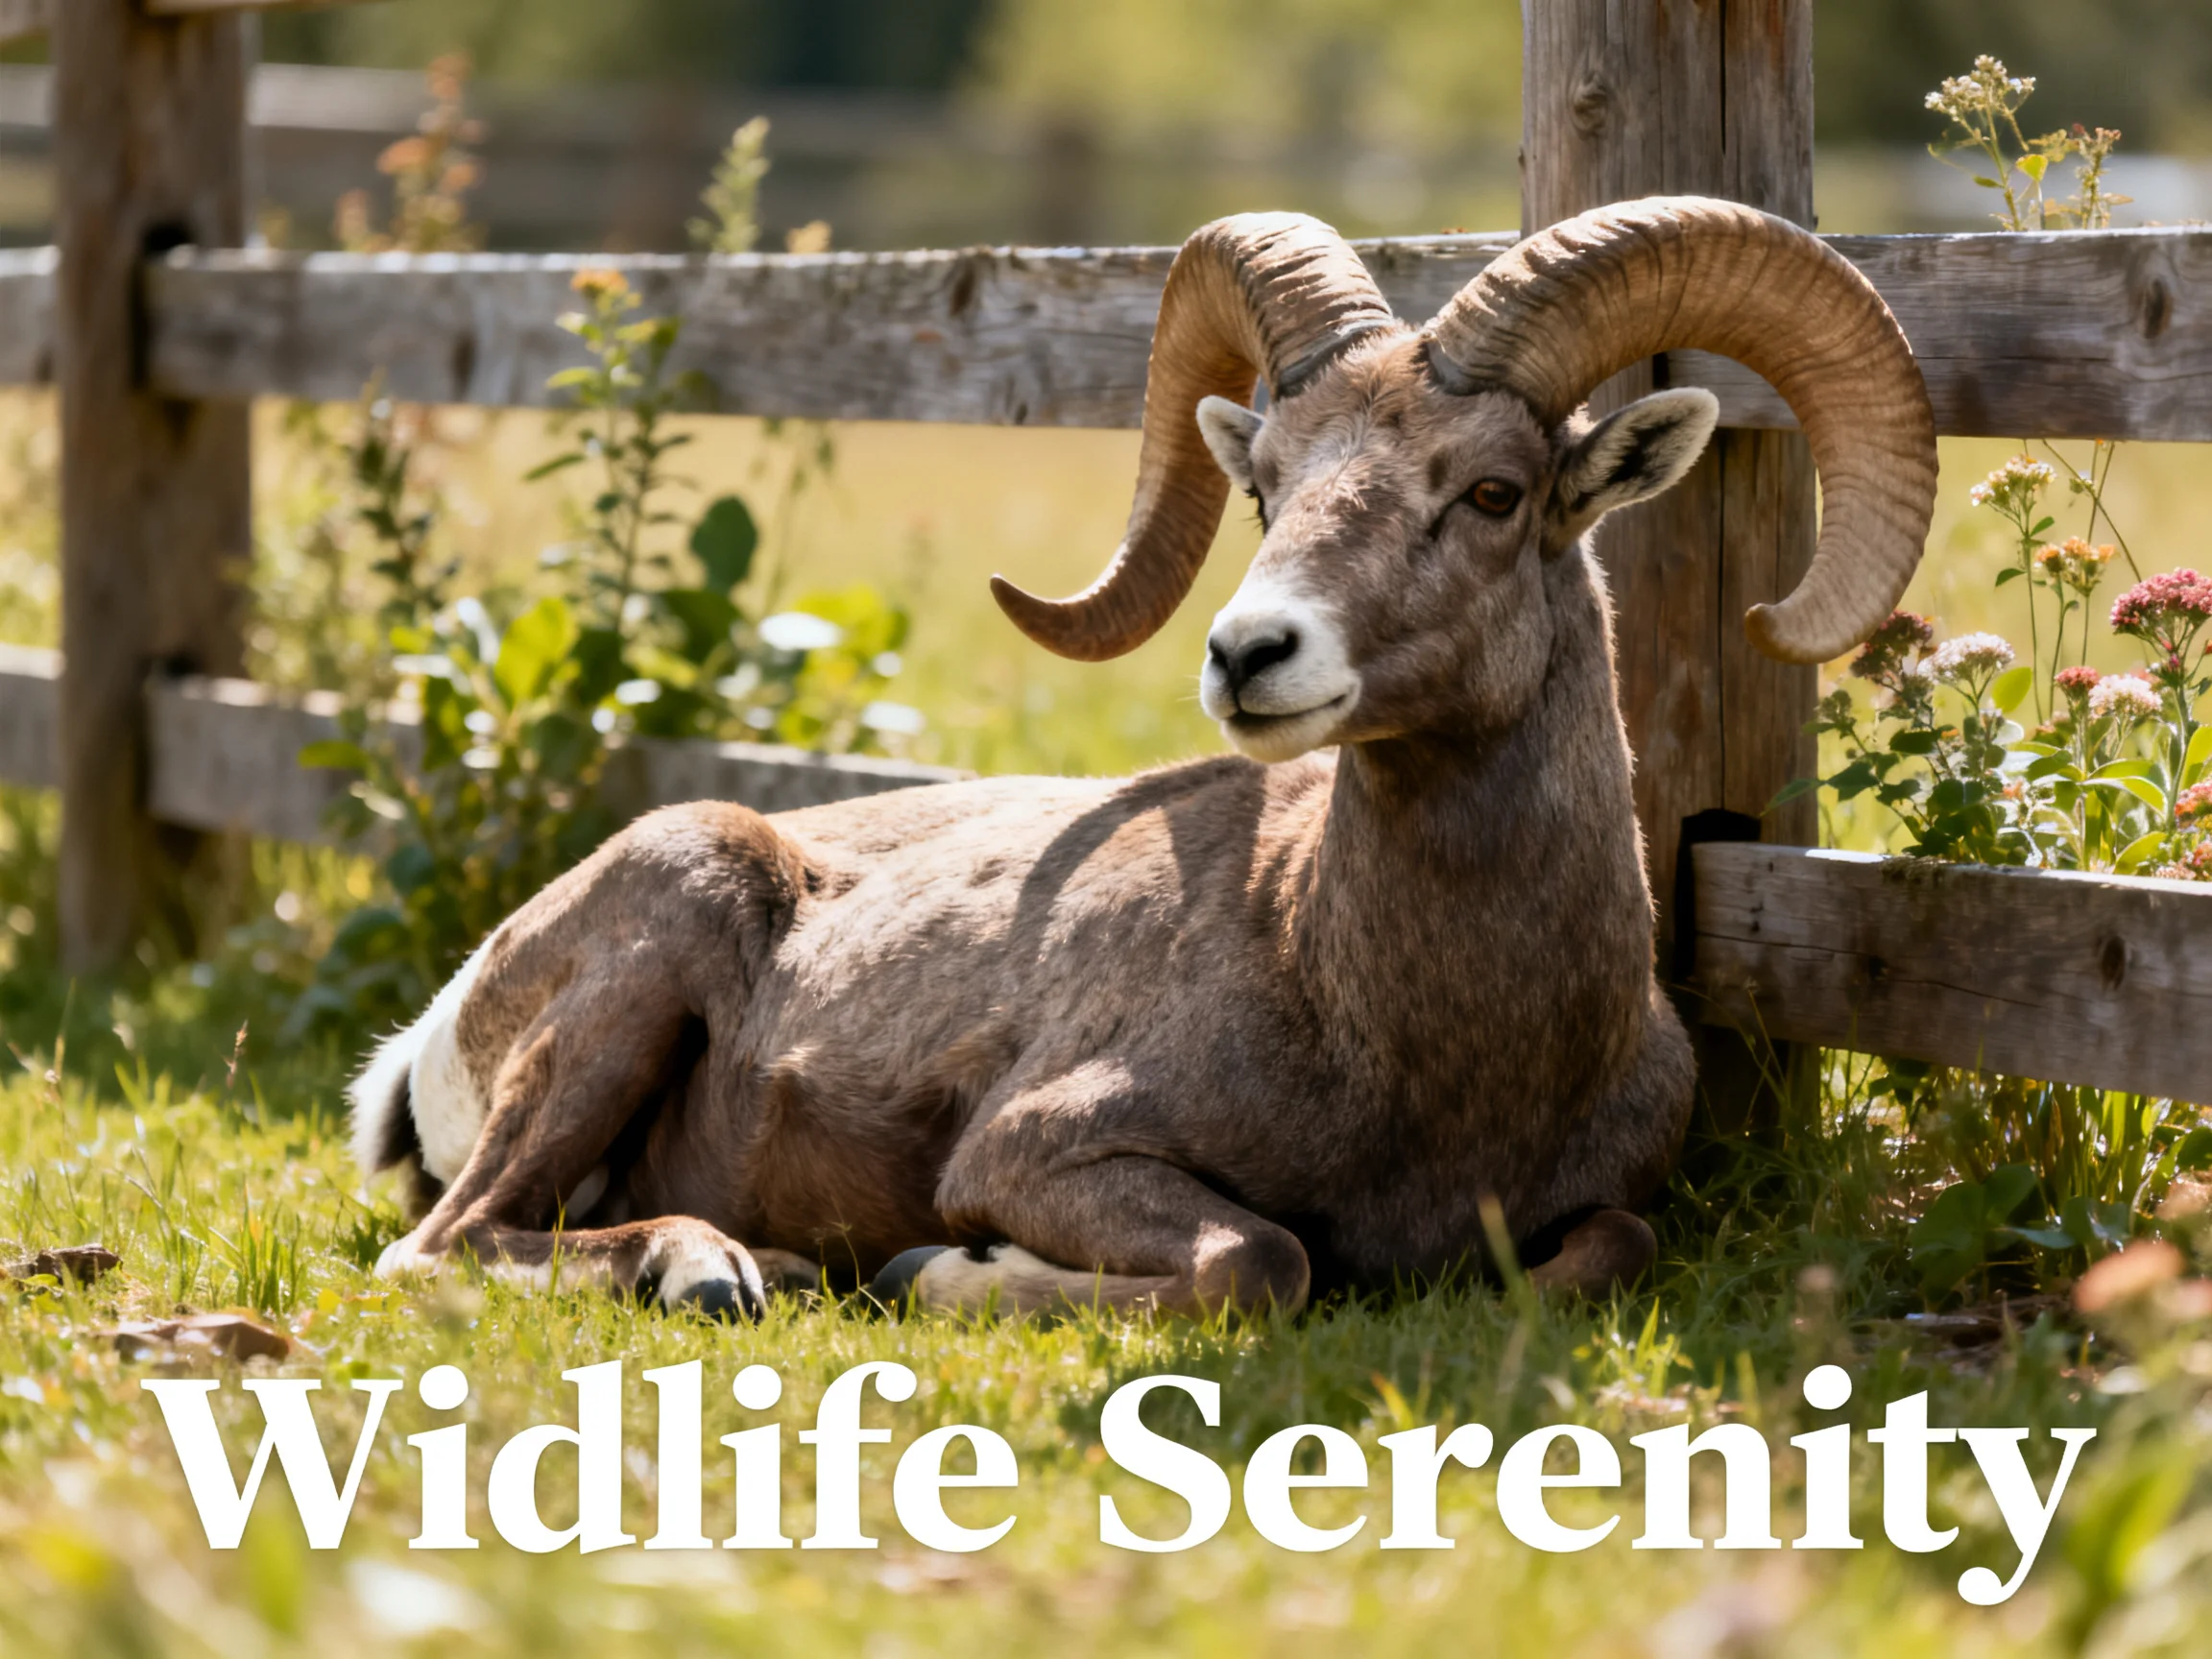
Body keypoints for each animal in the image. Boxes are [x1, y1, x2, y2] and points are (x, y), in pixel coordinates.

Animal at [352, 196, 1937, 1320]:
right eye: (1267, 489)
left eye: (1494, 493)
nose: (1248, 654)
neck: (1404, 1039)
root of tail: (432, 1035)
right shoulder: (1035, 1152)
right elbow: (1262, 1264)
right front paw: (945, 1275)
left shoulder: (1607, 1206)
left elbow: (1601, 1251)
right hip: (647, 957)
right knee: (445, 1247)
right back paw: (722, 1270)